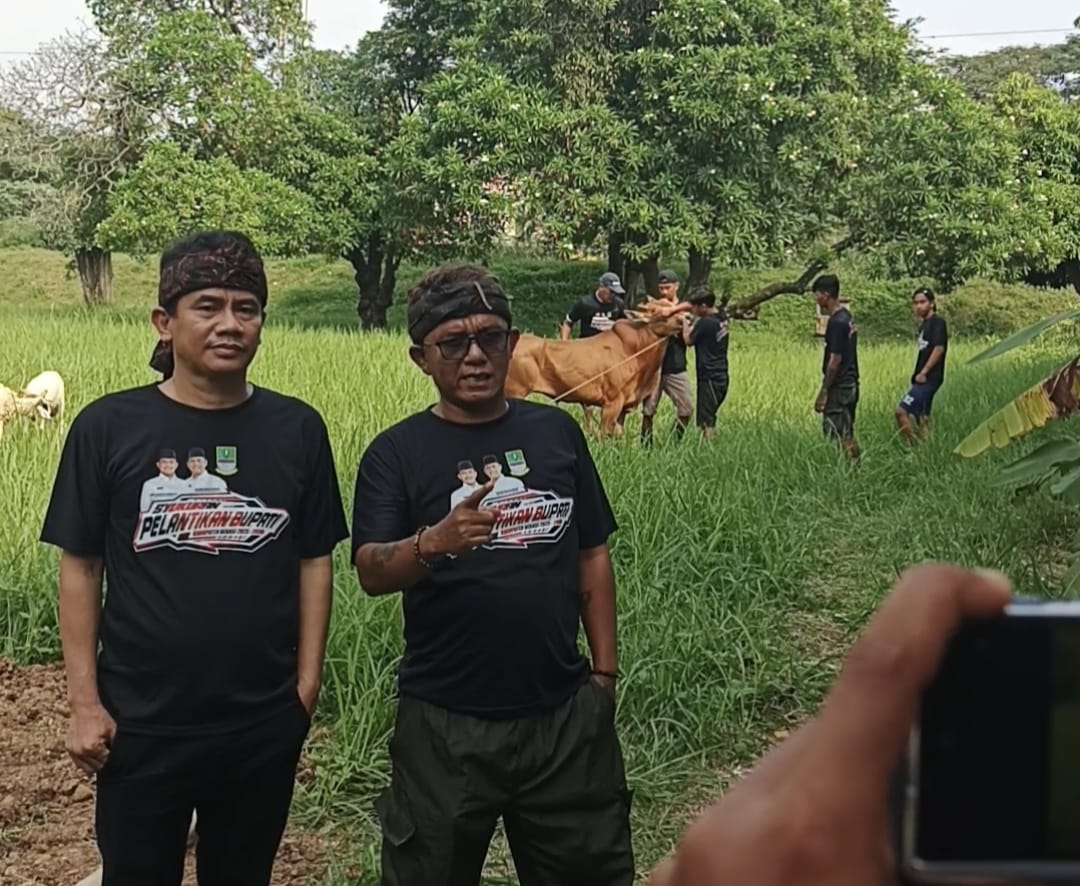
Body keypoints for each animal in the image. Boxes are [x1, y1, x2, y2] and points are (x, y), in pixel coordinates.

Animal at [505, 297, 691, 436]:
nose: (689, 317)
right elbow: (605, 435)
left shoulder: (623, 408)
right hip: (514, 391)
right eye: (663, 312)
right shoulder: (612, 402)